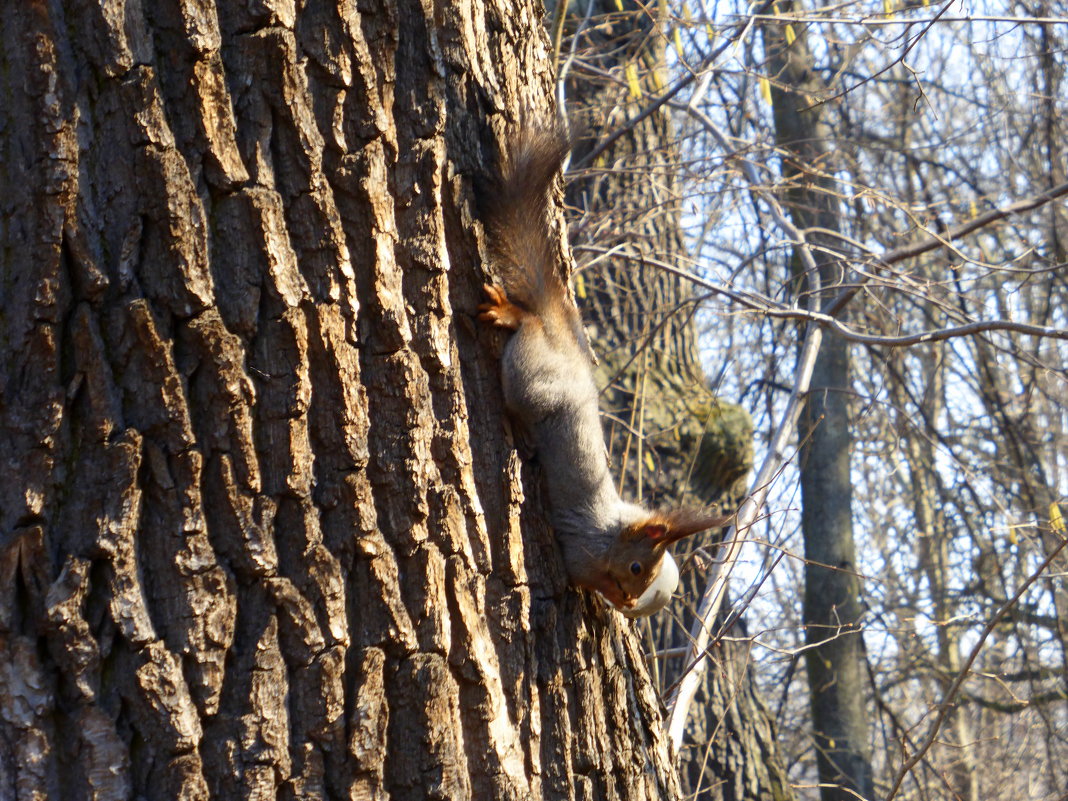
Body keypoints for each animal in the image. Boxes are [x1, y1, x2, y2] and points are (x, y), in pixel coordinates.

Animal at [480, 122, 730, 619]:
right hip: (531, 381)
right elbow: (581, 574)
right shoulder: (583, 551)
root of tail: (561, 339)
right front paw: (611, 596)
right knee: (525, 338)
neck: (612, 529)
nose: (632, 597)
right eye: (636, 568)